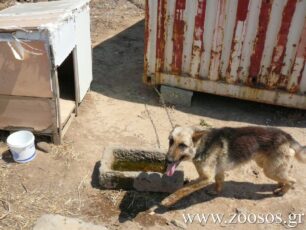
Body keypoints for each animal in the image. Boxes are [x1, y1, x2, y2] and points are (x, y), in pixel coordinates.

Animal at [161, 126, 304, 207]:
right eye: (170, 141)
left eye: (183, 145)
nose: (167, 160)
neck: (203, 144)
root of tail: (285, 135)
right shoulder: (218, 172)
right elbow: (219, 182)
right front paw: (216, 192)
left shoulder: (205, 178)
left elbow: (183, 189)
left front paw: (168, 201)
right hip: (266, 165)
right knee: (285, 177)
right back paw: (280, 185)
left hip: (270, 170)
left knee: (292, 180)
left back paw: (282, 191)